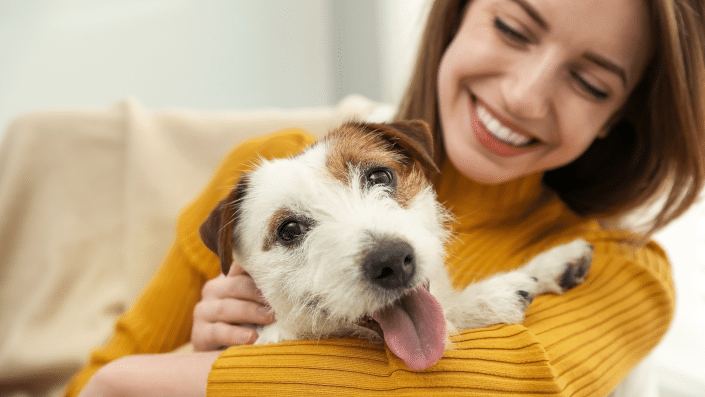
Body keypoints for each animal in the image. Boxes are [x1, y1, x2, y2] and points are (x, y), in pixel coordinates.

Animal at [201, 120, 592, 368]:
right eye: (290, 229)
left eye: (379, 176)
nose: (390, 260)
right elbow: (449, 312)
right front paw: (491, 296)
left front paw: (554, 262)